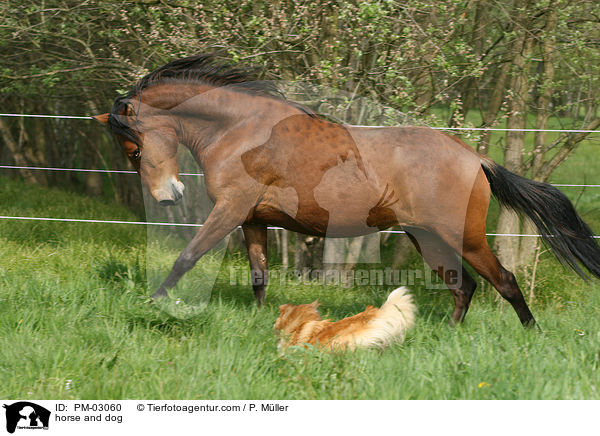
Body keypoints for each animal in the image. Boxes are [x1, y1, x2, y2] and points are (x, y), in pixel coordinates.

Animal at [94, 54, 600, 328]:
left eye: (133, 149)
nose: (168, 196)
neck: (240, 130)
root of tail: (474, 157)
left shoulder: (231, 209)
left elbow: (188, 256)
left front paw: (153, 302)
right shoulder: (253, 219)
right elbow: (259, 276)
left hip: (466, 236)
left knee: (504, 281)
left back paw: (532, 335)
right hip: (426, 238)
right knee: (465, 287)